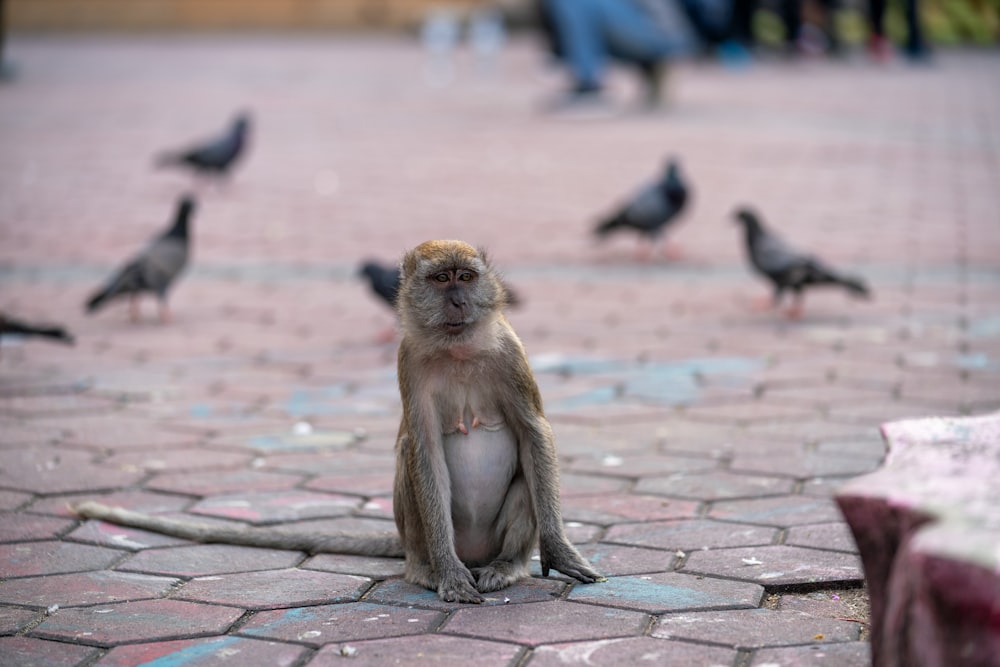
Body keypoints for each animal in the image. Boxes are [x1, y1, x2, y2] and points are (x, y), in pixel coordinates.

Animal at [74, 240, 600, 604]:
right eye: (441, 279)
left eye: (466, 277)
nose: (457, 302)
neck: (458, 349)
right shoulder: (408, 360)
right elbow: (424, 448)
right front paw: (448, 577)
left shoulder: (510, 352)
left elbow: (533, 431)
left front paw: (558, 550)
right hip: (424, 537)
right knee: (410, 459)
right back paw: (432, 569)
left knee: (527, 476)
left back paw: (507, 565)